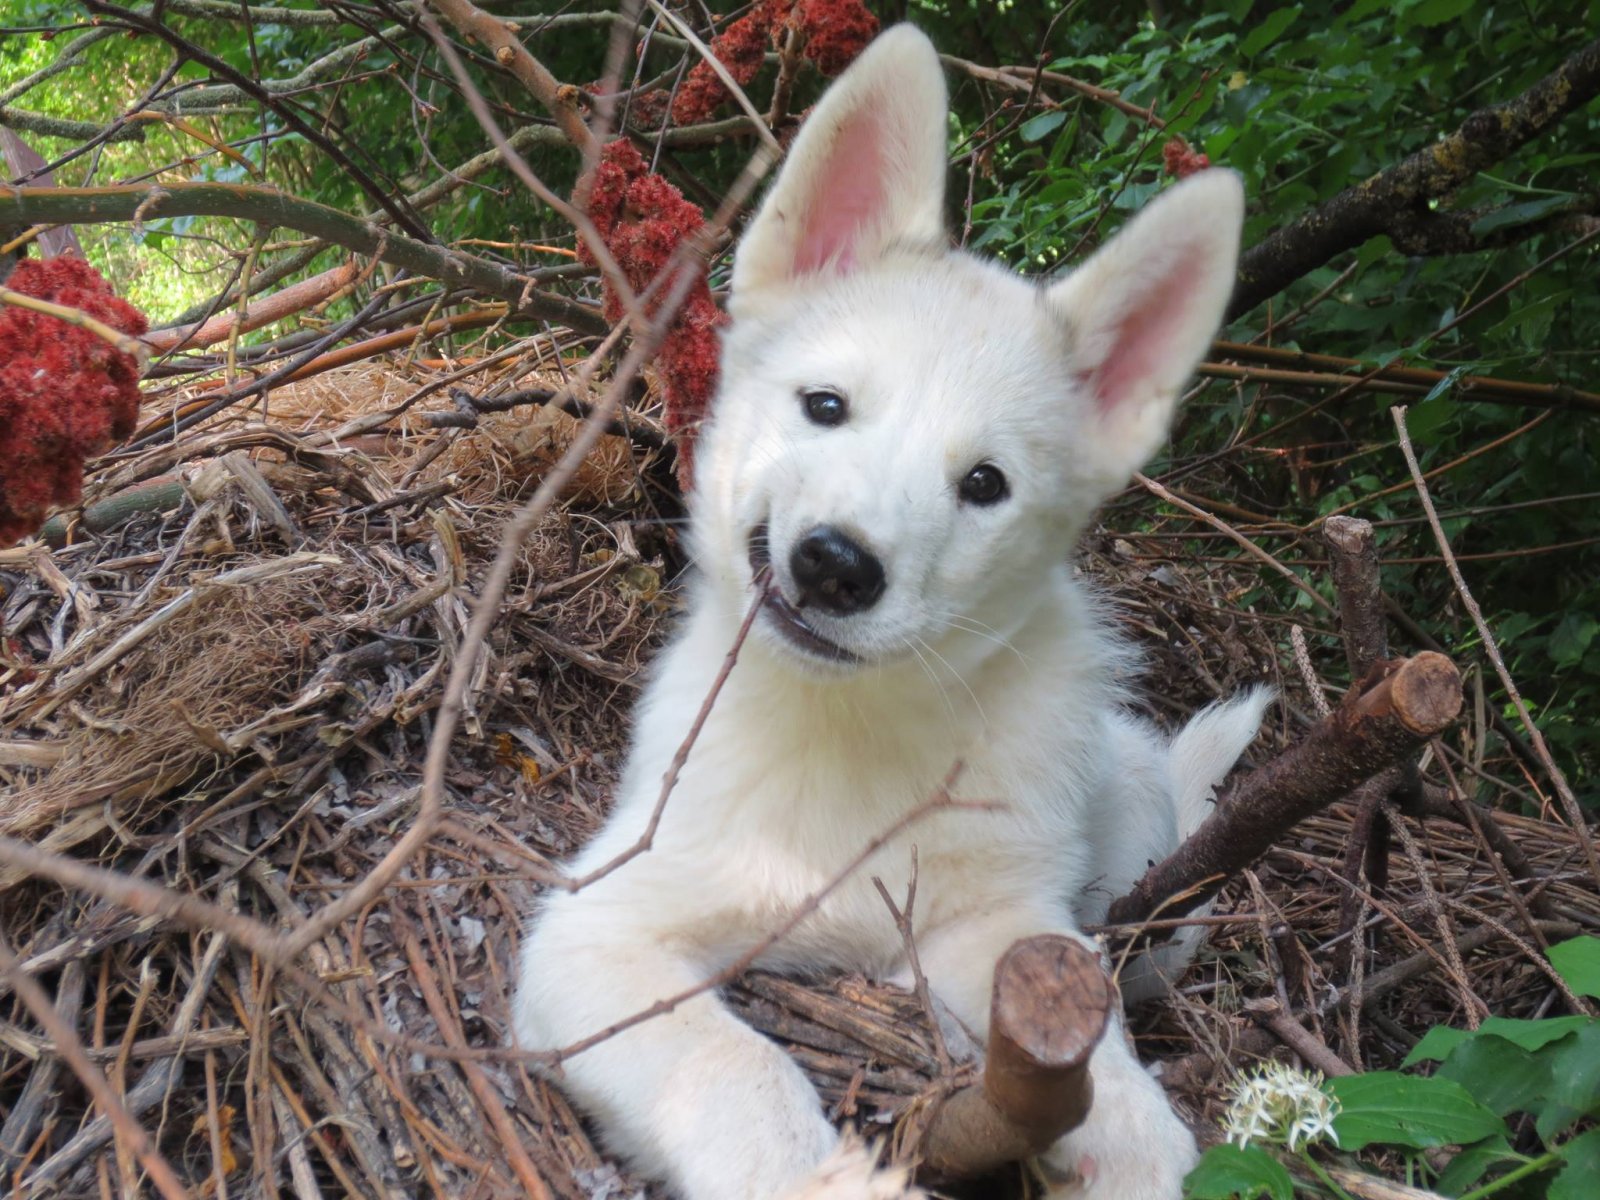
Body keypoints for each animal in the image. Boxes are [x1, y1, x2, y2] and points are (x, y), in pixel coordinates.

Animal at [518, 25, 1267, 1200]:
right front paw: (826, 1175)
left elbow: (1114, 1084)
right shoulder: (597, 926)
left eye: (985, 484)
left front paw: (1138, 1150)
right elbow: (730, 1066)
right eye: (825, 406)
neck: (849, 729)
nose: (834, 567)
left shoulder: (1003, 935)